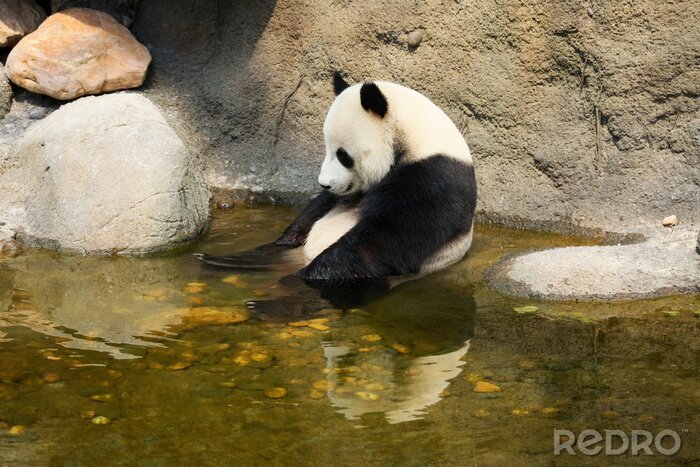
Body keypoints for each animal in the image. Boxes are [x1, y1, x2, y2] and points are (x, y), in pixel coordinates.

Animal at [203, 72, 477, 285]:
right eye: (326, 148)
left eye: (343, 155)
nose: (324, 183)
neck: (417, 139)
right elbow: (317, 208)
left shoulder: (433, 179)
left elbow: (385, 238)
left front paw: (302, 278)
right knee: (273, 251)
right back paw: (222, 260)